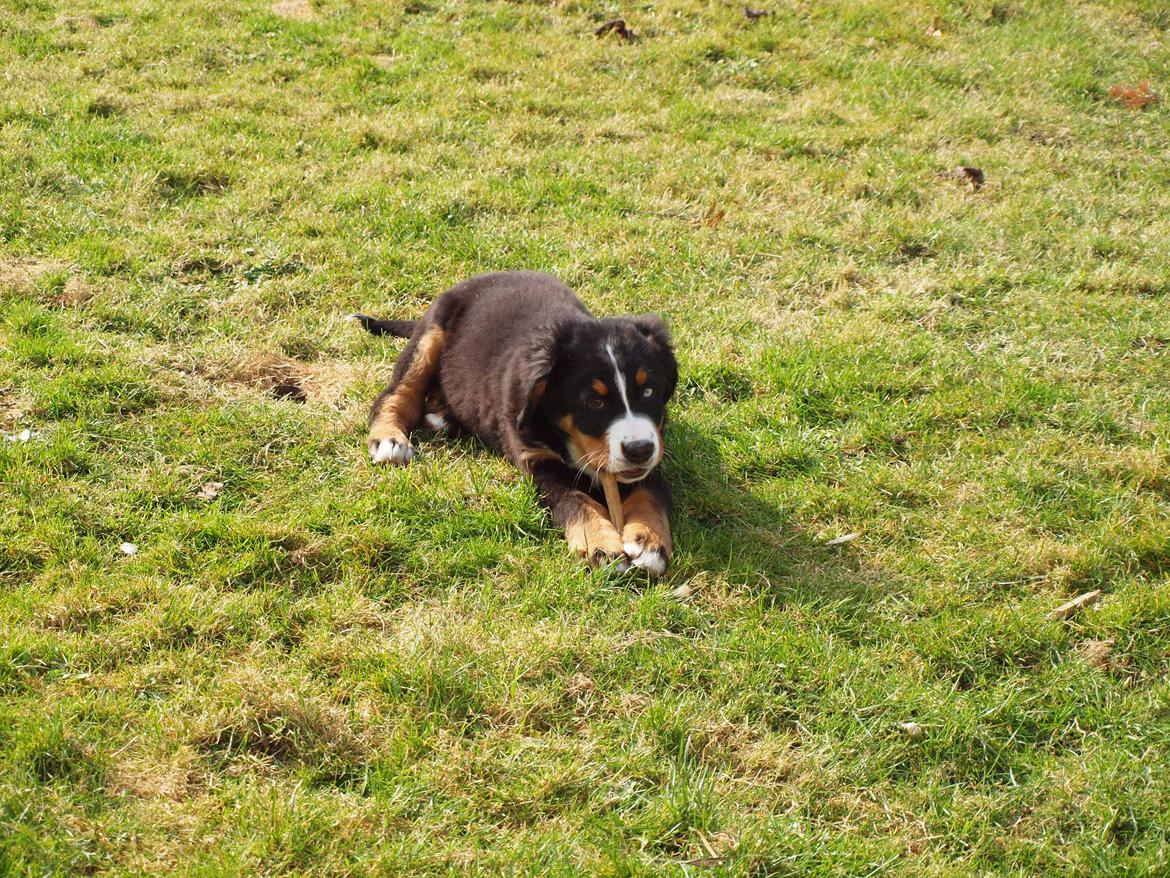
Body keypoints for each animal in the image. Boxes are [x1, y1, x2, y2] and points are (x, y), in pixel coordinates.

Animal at [346, 275, 678, 578]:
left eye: (648, 392)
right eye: (594, 402)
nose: (639, 450)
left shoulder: (652, 454)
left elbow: (651, 492)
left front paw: (649, 541)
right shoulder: (537, 462)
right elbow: (576, 500)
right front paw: (602, 545)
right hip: (430, 336)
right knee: (397, 395)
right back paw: (389, 439)